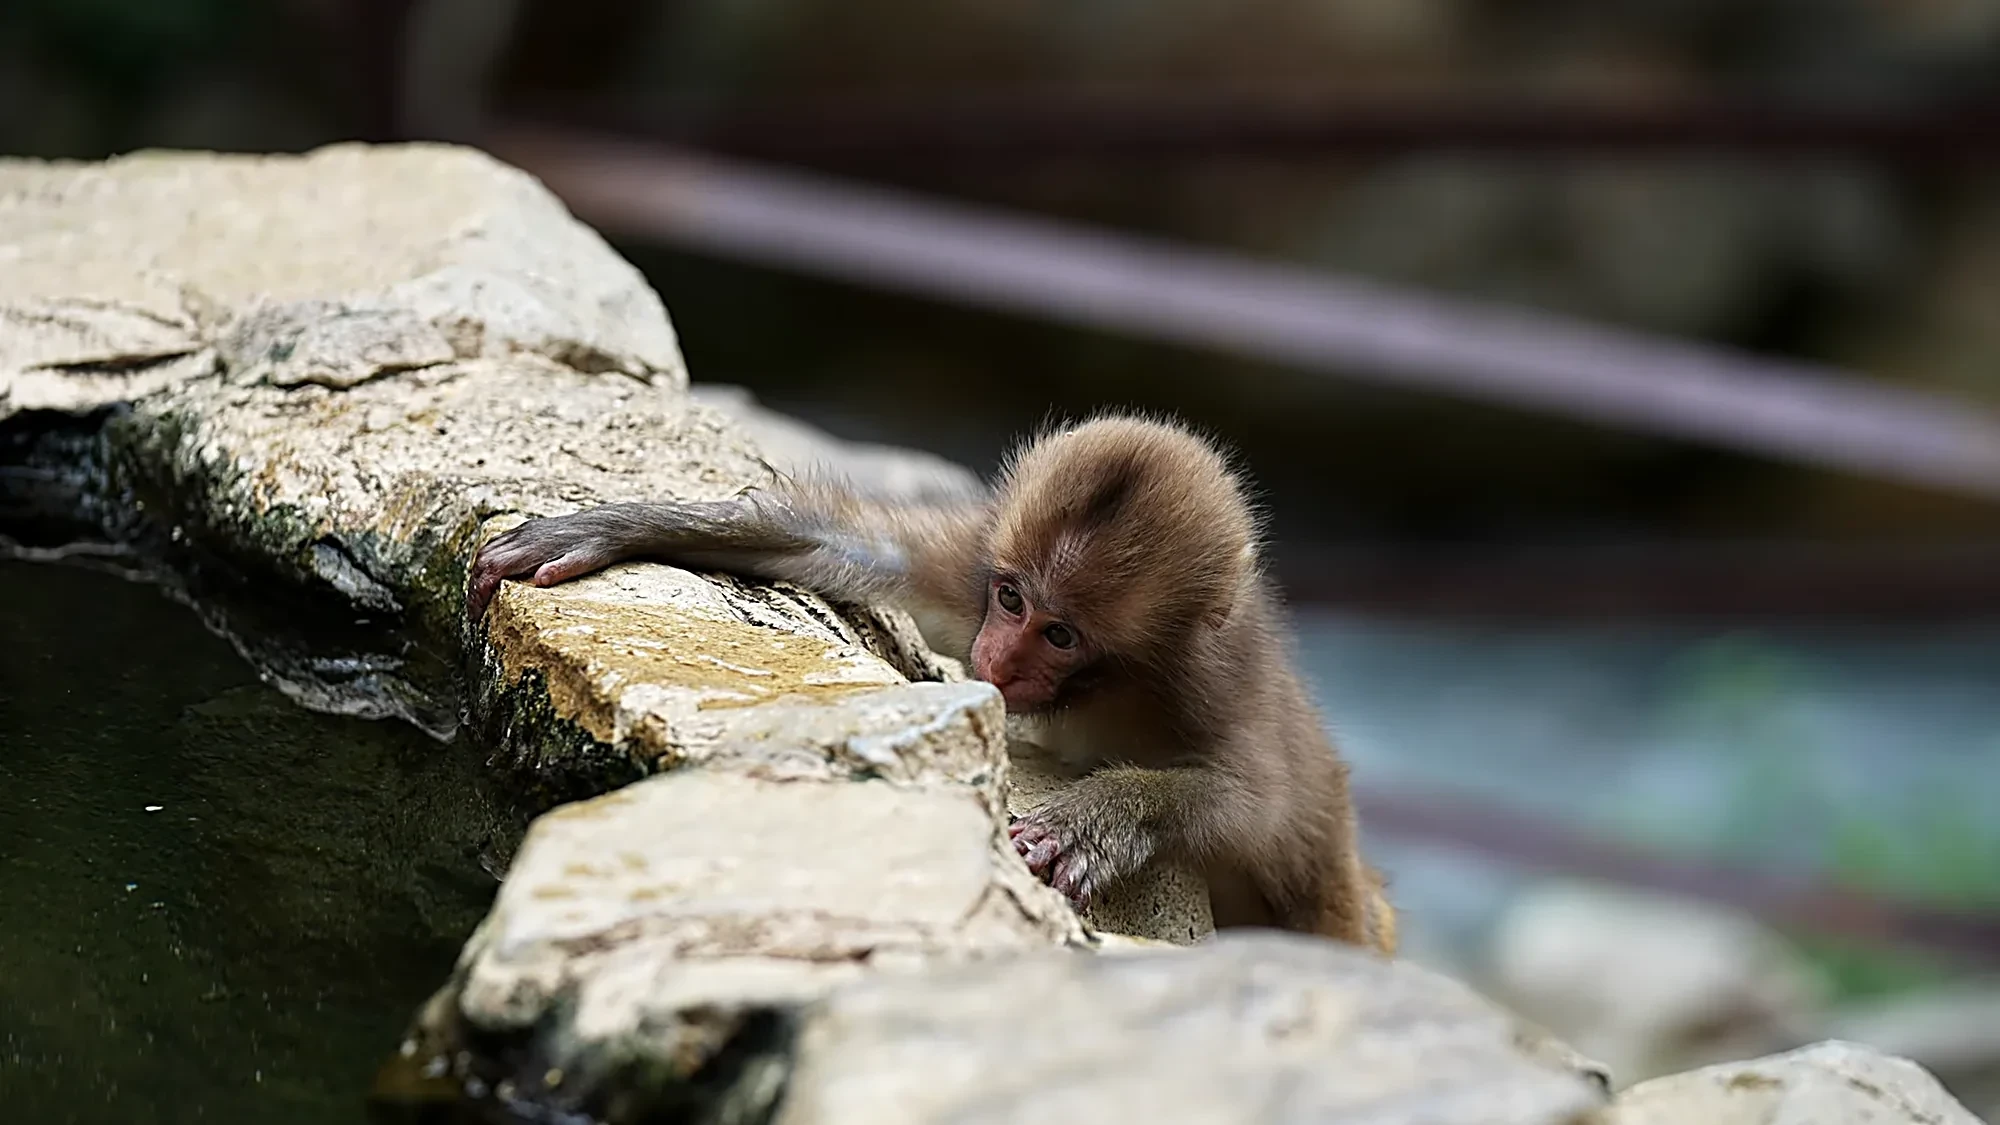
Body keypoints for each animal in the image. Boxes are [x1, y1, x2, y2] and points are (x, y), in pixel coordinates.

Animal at [466, 413, 1397, 953]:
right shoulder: (978, 559)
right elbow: (848, 547)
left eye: (1061, 633)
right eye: (1012, 597)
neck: (1107, 683)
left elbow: (1266, 813)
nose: (998, 660)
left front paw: (1101, 817)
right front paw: (612, 528)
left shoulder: (1214, 681)